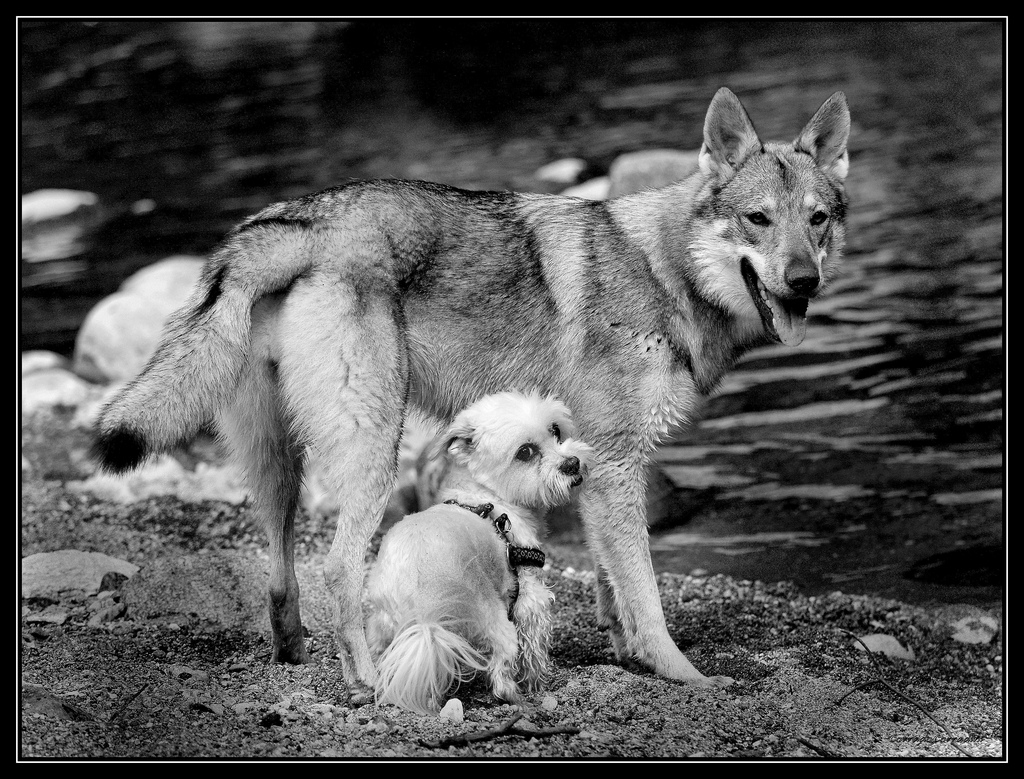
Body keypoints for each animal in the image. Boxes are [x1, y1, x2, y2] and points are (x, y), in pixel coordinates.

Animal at [366, 391, 593, 712]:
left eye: (555, 431)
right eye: (525, 452)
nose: (572, 463)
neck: (488, 495)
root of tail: (423, 609)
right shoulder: (530, 600)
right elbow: (533, 651)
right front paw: (537, 685)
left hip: (383, 628)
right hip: (496, 623)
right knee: (501, 673)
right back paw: (516, 698)